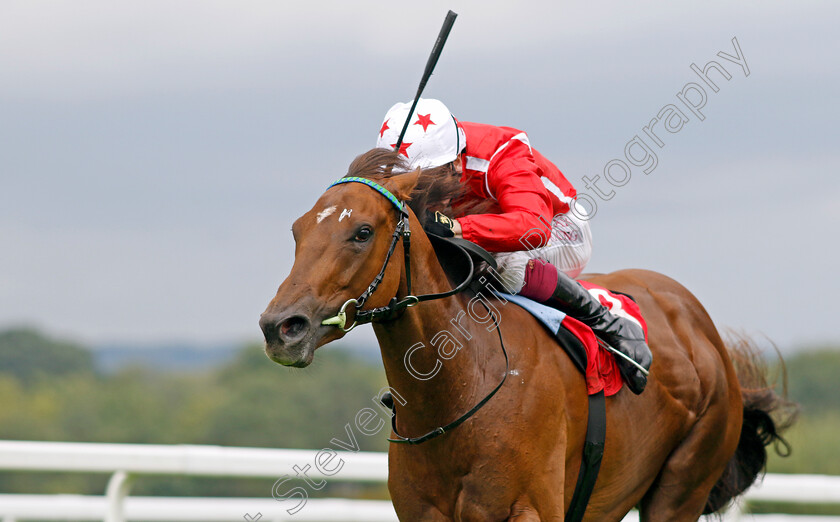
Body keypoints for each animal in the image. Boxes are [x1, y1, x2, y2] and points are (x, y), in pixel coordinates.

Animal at [260, 148, 792, 516]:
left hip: (682, 484)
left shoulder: (529, 509)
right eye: (297, 231)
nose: (280, 327)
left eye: (363, 232)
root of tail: (700, 325)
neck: (462, 386)